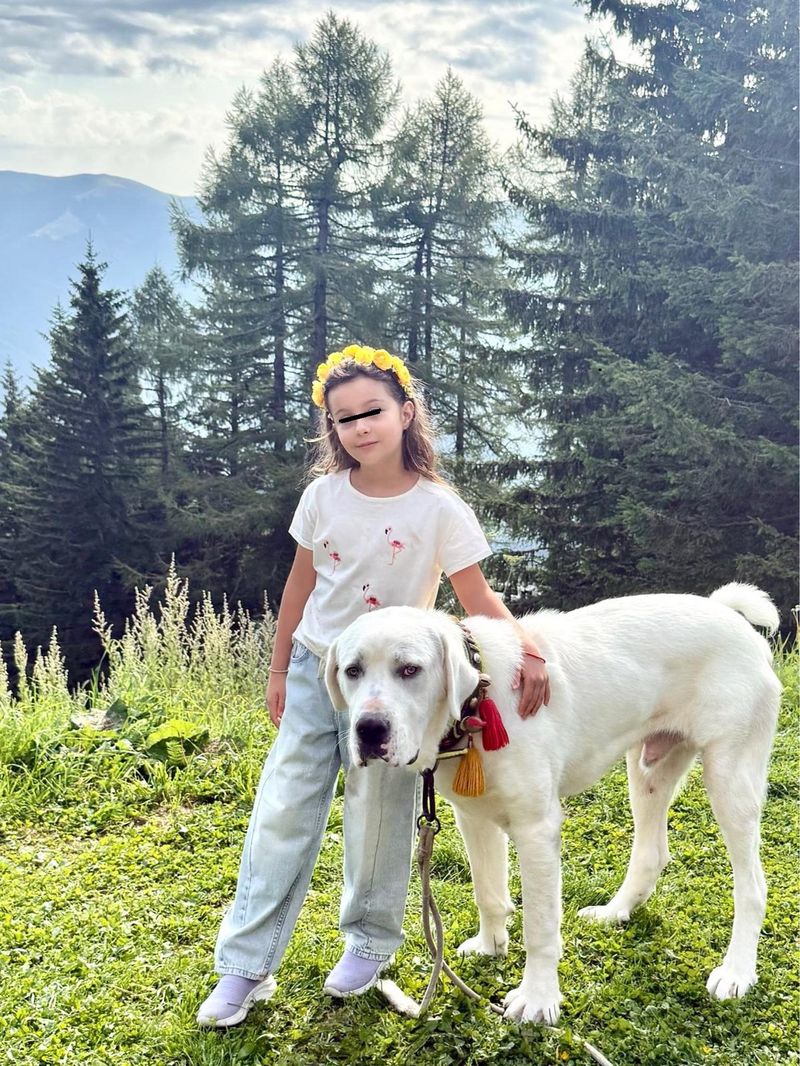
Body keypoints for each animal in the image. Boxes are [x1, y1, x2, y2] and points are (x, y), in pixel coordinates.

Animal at [324, 583, 781, 1024]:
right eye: (353, 671)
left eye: (409, 670)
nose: (369, 729)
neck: (478, 699)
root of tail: (726, 611)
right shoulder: (474, 817)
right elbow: (487, 891)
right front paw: (490, 946)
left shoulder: (536, 829)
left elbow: (540, 927)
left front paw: (537, 999)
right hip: (648, 770)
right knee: (651, 853)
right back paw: (614, 913)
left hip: (730, 779)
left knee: (753, 887)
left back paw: (737, 972)